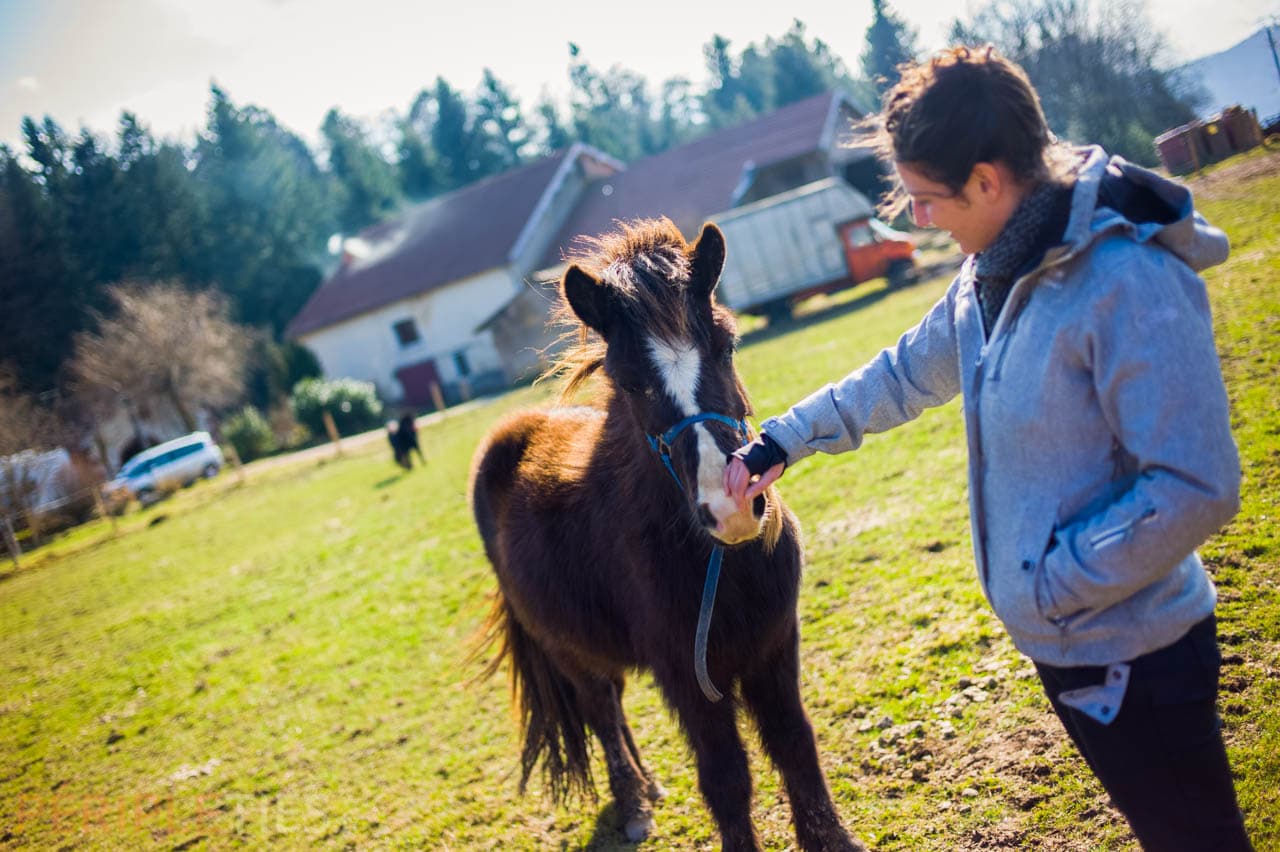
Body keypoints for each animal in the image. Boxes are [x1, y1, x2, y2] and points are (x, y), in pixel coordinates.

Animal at [469, 219, 862, 851]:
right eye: (630, 383)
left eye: (727, 345)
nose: (730, 506)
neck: (720, 564)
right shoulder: (685, 674)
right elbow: (727, 777)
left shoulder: (775, 646)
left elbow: (795, 745)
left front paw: (834, 840)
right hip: (567, 648)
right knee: (602, 711)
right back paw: (633, 801)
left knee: (615, 705)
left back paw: (648, 786)